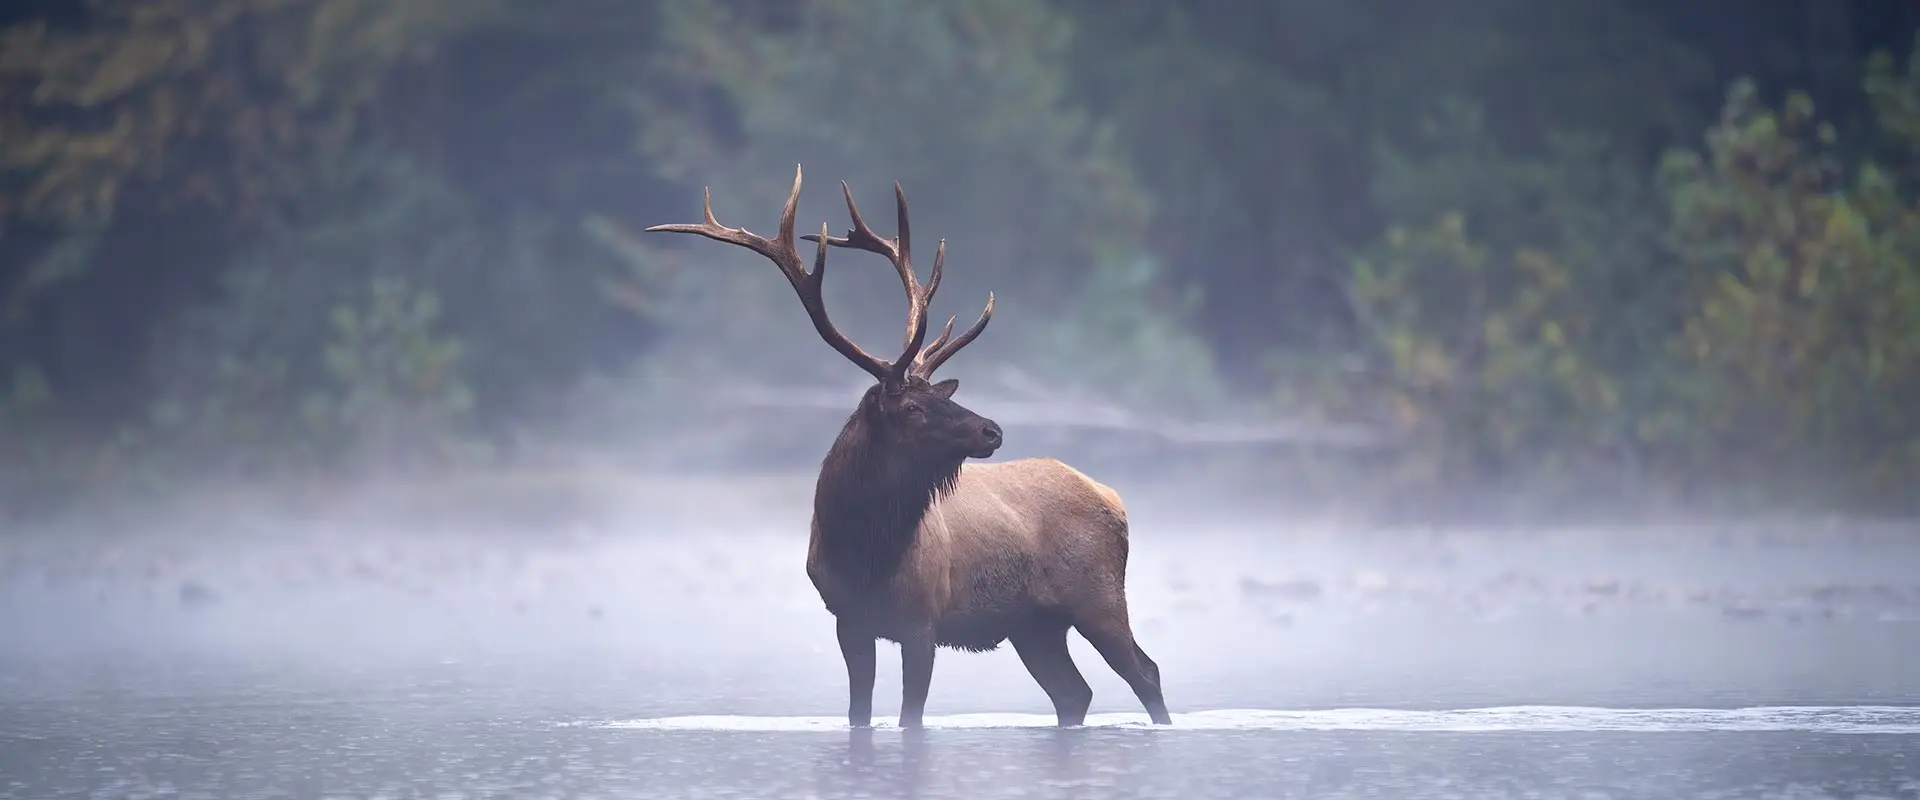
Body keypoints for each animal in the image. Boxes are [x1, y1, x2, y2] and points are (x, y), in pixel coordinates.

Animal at [645, 165, 1172, 729]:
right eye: (915, 407)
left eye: (941, 396)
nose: (993, 430)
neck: (862, 551)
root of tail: (1112, 497)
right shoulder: (848, 620)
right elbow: (859, 712)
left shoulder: (923, 621)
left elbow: (909, 717)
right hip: (1033, 624)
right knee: (1074, 692)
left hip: (1097, 595)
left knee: (1145, 671)